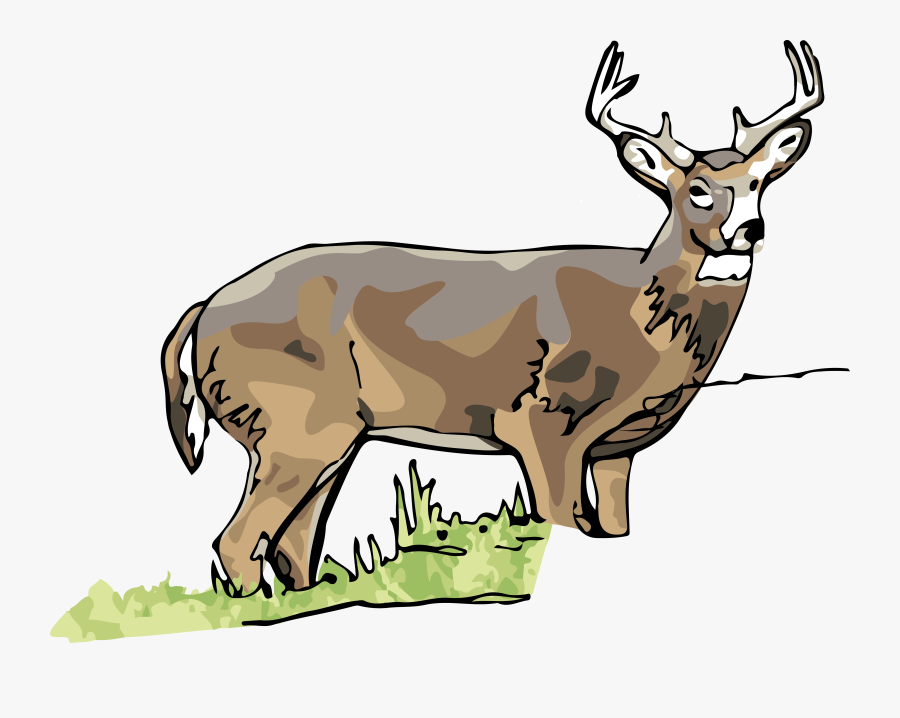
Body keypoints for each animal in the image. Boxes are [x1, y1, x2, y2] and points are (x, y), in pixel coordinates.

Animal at [162, 40, 824, 597]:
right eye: (698, 191)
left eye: (759, 182)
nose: (749, 229)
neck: (641, 321)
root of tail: (201, 310)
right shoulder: (543, 419)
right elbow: (564, 523)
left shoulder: (619, 448)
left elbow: (613, 533)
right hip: (292, 420)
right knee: (240, 542)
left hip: (334, 435)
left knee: (295, 544)